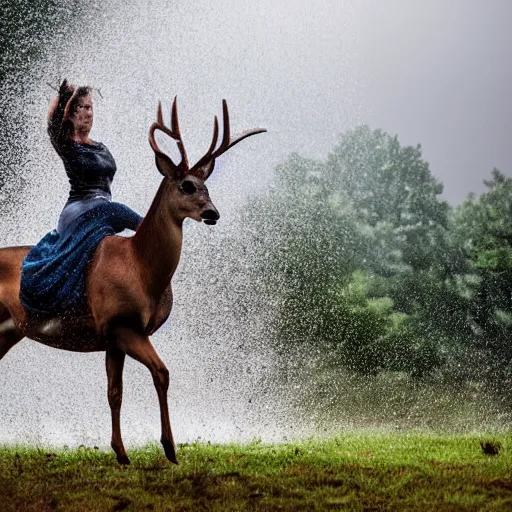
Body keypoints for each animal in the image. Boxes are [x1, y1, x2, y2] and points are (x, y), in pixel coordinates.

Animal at [0, 97, 268, 464]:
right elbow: (161, 373)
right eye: (186, 185)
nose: (212, 213)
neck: (140, 269)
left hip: (7, 330)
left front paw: (122, 454)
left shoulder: (114, 337)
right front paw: (170, 448)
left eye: (206, 185)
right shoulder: (121, 324)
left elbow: (115, 392)